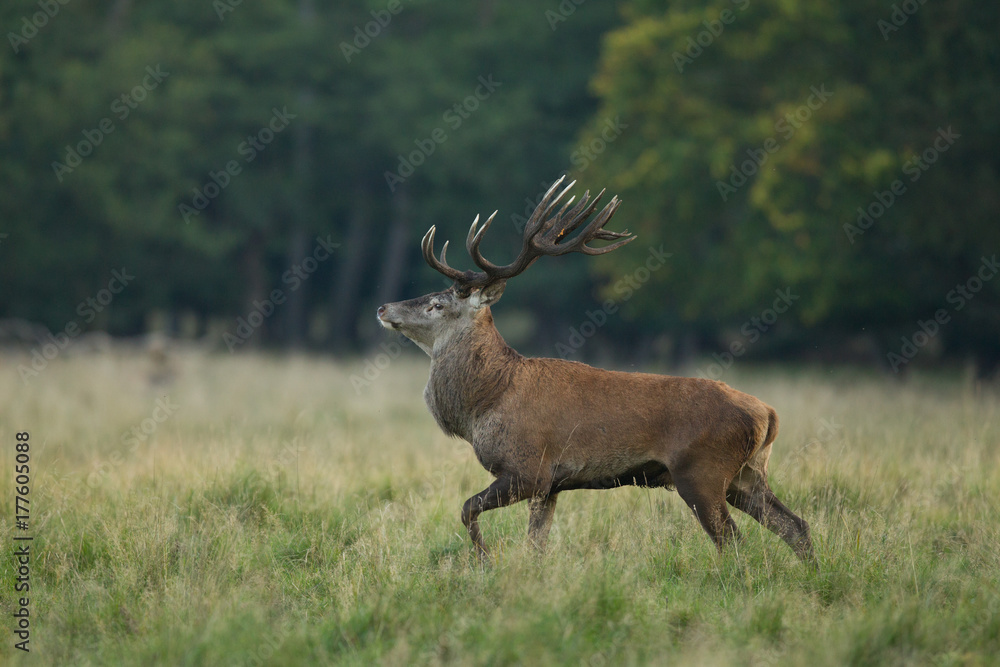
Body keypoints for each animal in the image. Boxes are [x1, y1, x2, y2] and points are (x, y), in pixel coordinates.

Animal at [376, 177, 815, 565]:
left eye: (436, 304)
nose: (383, 307)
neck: (485, 404)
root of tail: (767, 414)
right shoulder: (551, 485)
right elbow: (535, 545)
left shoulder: (527, 469)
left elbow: (467, 508)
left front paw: (486, 561)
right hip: (747, 474)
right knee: (796, 526)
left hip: (701, 472)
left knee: (734, 541)